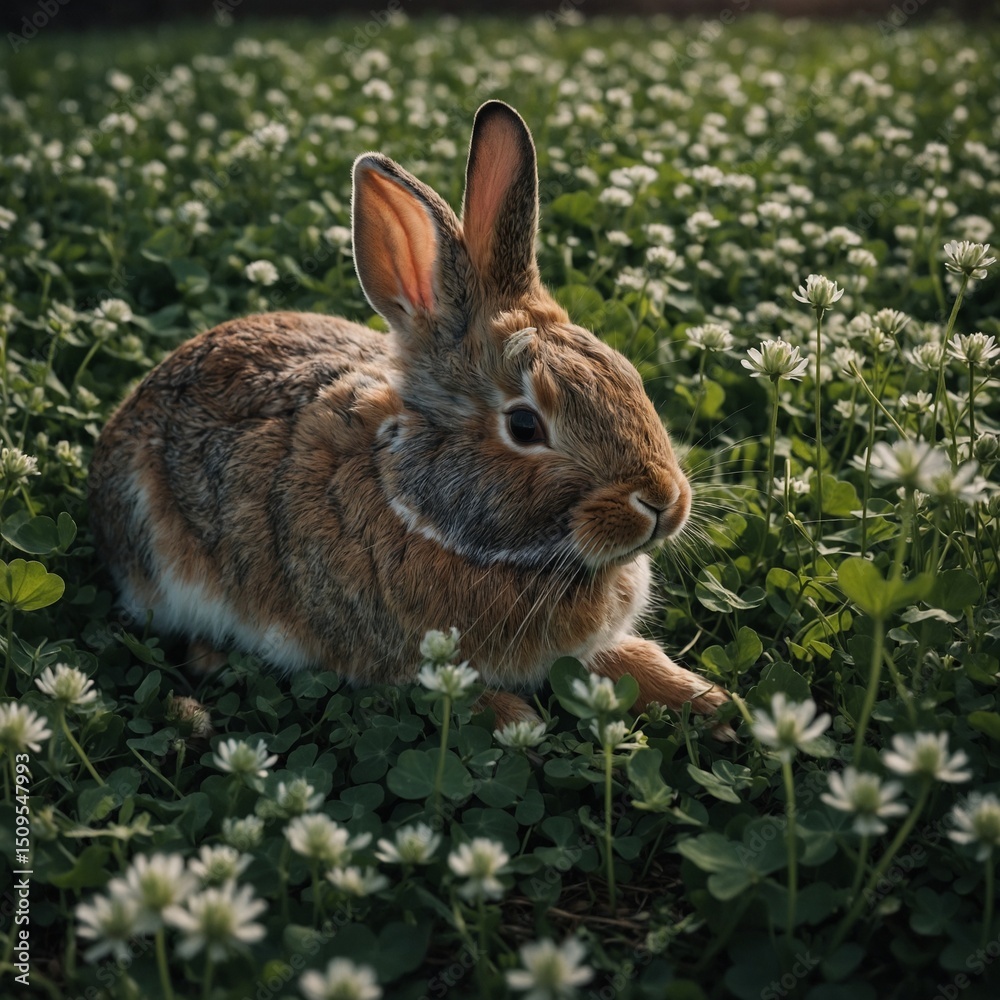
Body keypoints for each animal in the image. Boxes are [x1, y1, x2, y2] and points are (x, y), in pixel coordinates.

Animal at [88, 100, 731, 734]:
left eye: (628, 374)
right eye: (525, 426)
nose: (663, 501)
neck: (418, 510)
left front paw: (708, 701)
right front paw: (518, 719)